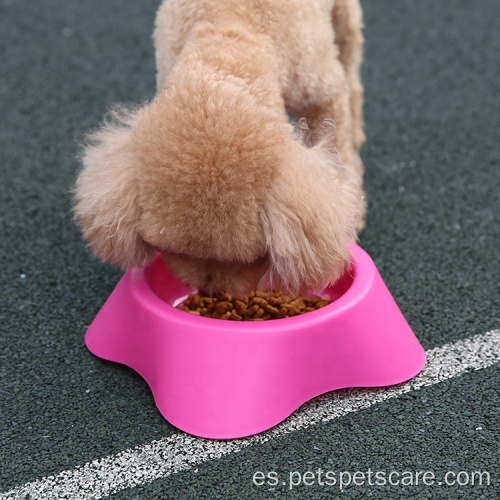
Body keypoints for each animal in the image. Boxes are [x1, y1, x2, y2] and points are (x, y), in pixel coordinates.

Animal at [73, 0, 364, 296]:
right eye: (169, 250)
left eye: (251, 259)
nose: (211, 292)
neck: (231, 34)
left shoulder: (322, 91)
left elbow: (338, 143)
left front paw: (351, 208)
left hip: (344, 21)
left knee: (351, 64)